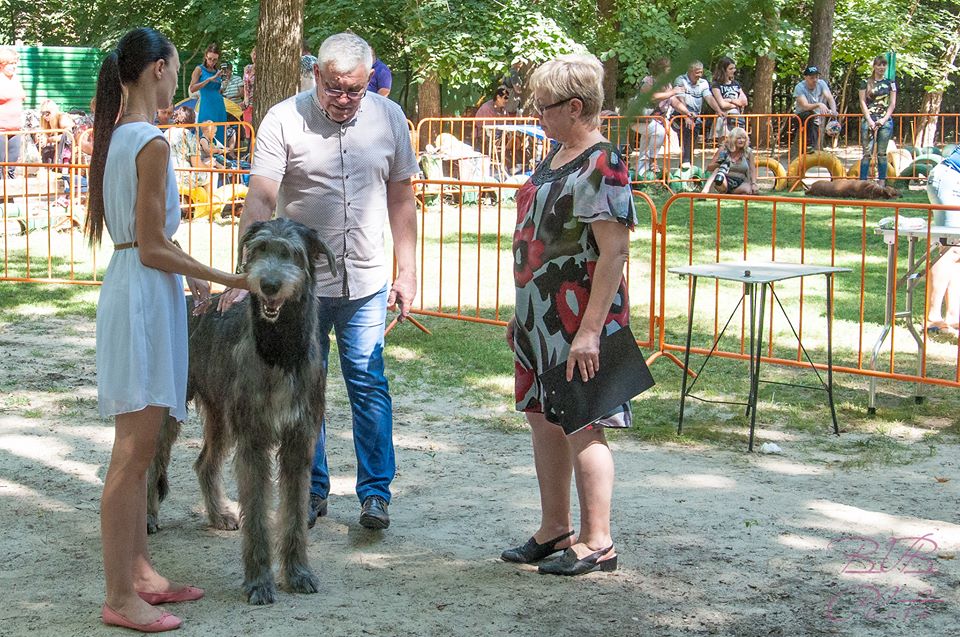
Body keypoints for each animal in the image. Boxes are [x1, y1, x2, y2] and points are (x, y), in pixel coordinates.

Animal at [144, 216, 336, 604]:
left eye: (292, 253)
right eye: (259, 249)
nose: (269, 284)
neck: (279, 352)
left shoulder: (299, 441)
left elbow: (294, 512)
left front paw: (298, 572)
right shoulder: (253, 441)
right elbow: (259, 514)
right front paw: (259, 581)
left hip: (221, 415)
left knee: (205, 462)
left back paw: (218, 513)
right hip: (170, 410)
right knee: (151, 462)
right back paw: (148, 517)